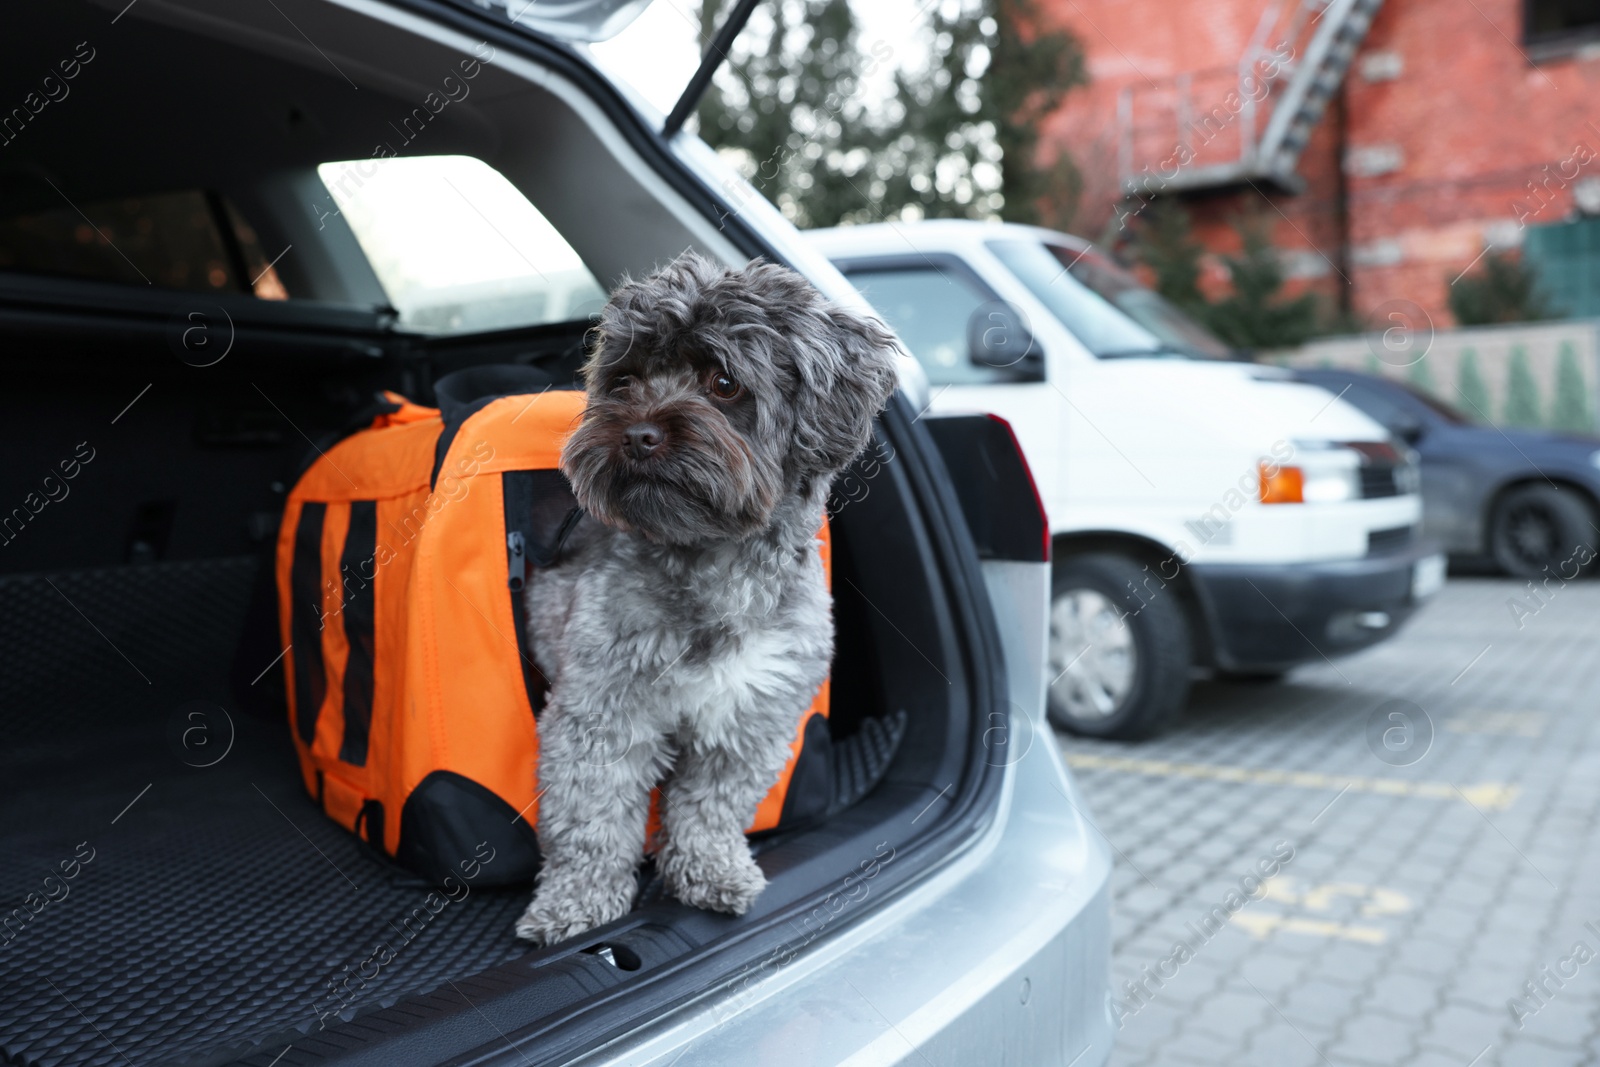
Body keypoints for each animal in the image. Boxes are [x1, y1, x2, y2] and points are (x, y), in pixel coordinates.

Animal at [512, 251, 902, 940]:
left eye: (723, 382)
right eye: (626, 380)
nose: (637, 433)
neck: (716, 563)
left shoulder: (750, 715)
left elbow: (710, 807)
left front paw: (708, 872)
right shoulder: (602, 711)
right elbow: (591, 817)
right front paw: (577, 905)